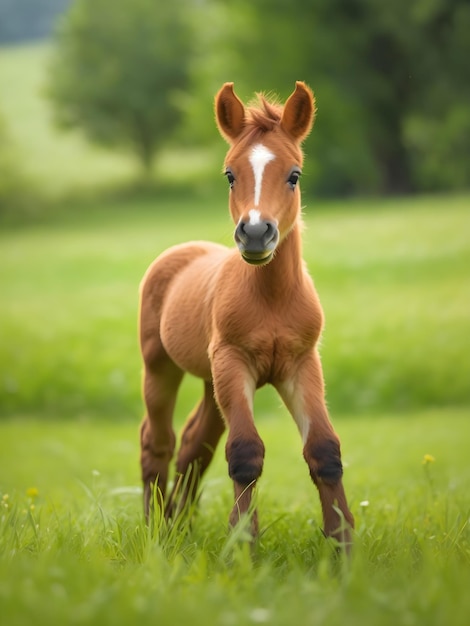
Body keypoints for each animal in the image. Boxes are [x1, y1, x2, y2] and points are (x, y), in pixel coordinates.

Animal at [138, 81, 354, 540]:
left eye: (294, 175)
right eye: (230, 174)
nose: (255, 233)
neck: (271, 297)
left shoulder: (301, 363)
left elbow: (325, 450)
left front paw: (344, 548)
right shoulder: (233, 361)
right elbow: (244, 453)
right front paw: (242, 545)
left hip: (209, 379)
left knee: (194, 443)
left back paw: (182, 525)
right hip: (161, 366)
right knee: (158, 440)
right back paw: (157, 529)